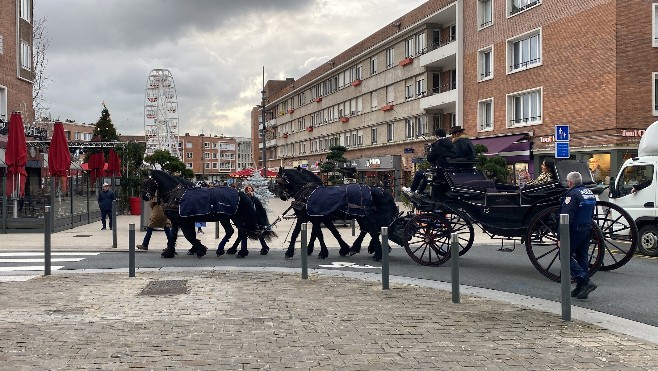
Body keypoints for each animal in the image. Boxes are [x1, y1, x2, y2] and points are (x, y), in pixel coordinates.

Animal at [141, 171, 274, 258]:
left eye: (147, 182)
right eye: (142, 182)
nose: (144, 196)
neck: (175, 195)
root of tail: (241, 193)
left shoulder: (182, 221)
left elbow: (188, 236)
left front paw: (200, 249)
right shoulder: (180, 221)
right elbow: (176, 235)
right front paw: (170, 252)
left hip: (228, 217)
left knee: (235, 231)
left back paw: (228, 250)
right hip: (234, 217)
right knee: (242, 232)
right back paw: (238, 250)